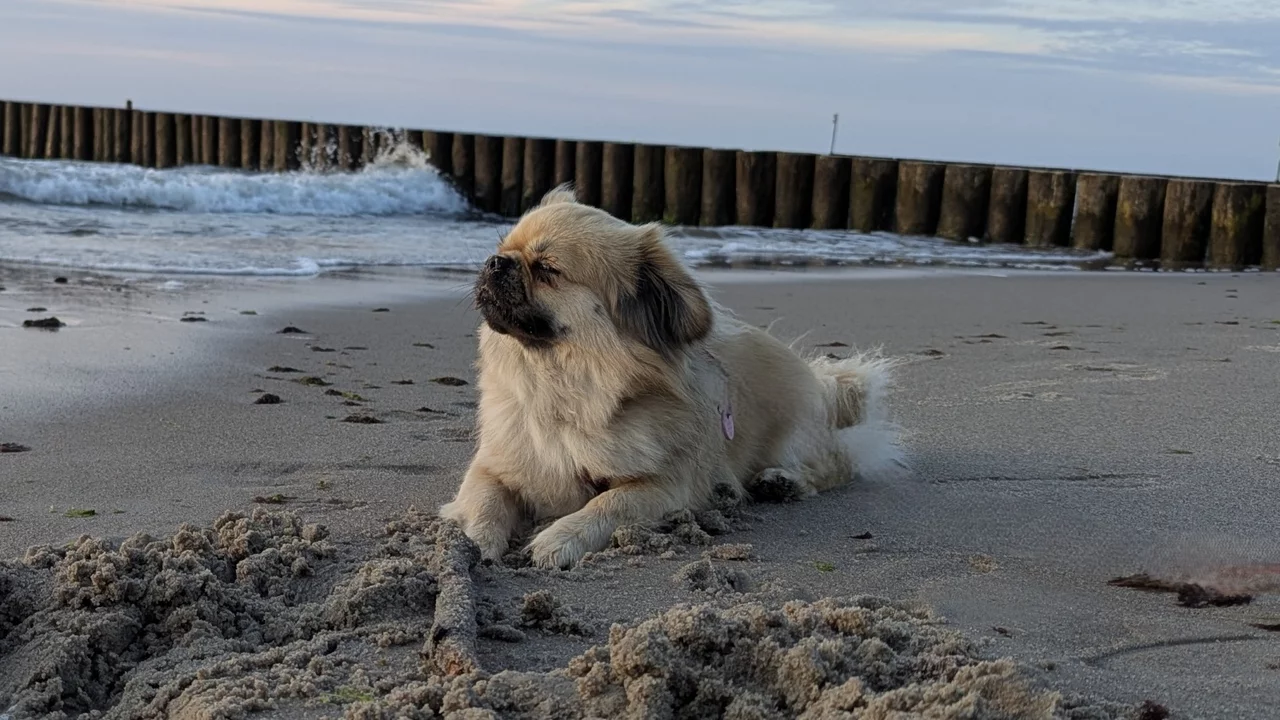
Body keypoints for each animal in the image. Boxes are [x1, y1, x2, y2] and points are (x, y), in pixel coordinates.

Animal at [439, 185, 903, 569]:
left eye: (547, 269)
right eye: (503, 247)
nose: (496, 262)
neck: (564, 388)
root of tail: (823, 384)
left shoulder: (665, 486)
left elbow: (608, 504)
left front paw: (560, 537)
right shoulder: (496, 466)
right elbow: (484, 502)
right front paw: (469, 543)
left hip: (795, 435)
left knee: (836, 466)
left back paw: (782, 482)